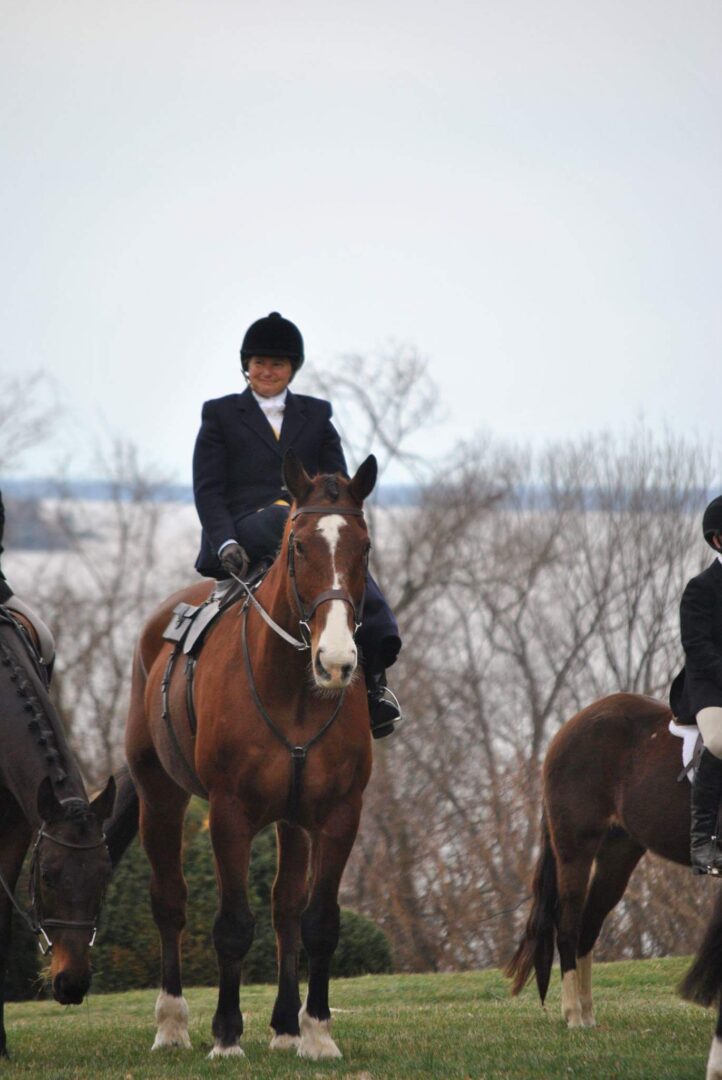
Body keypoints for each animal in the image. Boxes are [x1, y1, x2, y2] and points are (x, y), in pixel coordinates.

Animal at [125, 451, 377, 1058]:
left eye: (364, 547)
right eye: (299, 546)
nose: (337, 661)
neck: (294, 688)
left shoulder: (339, 814)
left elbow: (318, 922)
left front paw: (317, 1032)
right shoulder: (229, 813)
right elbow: (234, 924)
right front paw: (226, 1035)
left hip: (292, 818)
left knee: (285, 909)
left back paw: (286, 1027)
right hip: (159, 796)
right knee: (170, 901)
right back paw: (172, 1023)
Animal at [500, 691, 690, 1028]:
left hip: (618, 854)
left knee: (588, 926)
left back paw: (587, 1014)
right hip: (575, 850)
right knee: (568, 925)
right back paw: (574, 1014)